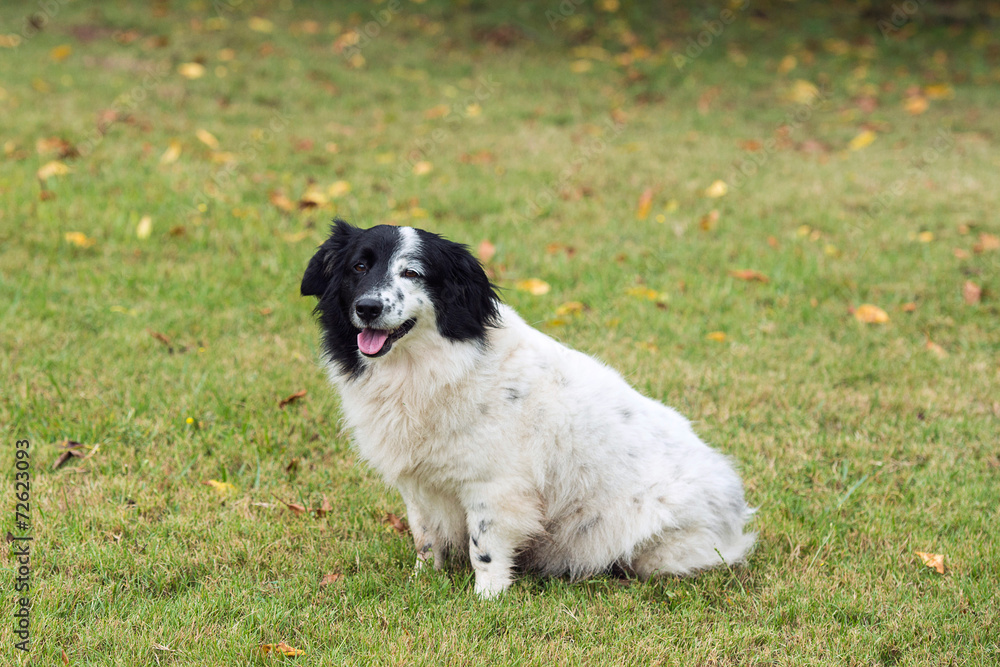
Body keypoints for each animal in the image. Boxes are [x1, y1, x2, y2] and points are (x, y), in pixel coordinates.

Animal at [300, 220, 752, 600]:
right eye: (359, 267)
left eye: (412, 273)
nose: (368, 308)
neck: (432, 366)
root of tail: (737, 506)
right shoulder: (419, 483)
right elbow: (425, 537)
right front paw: (422, 581)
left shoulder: (494, 485)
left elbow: (484, 545)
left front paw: (488, 598)